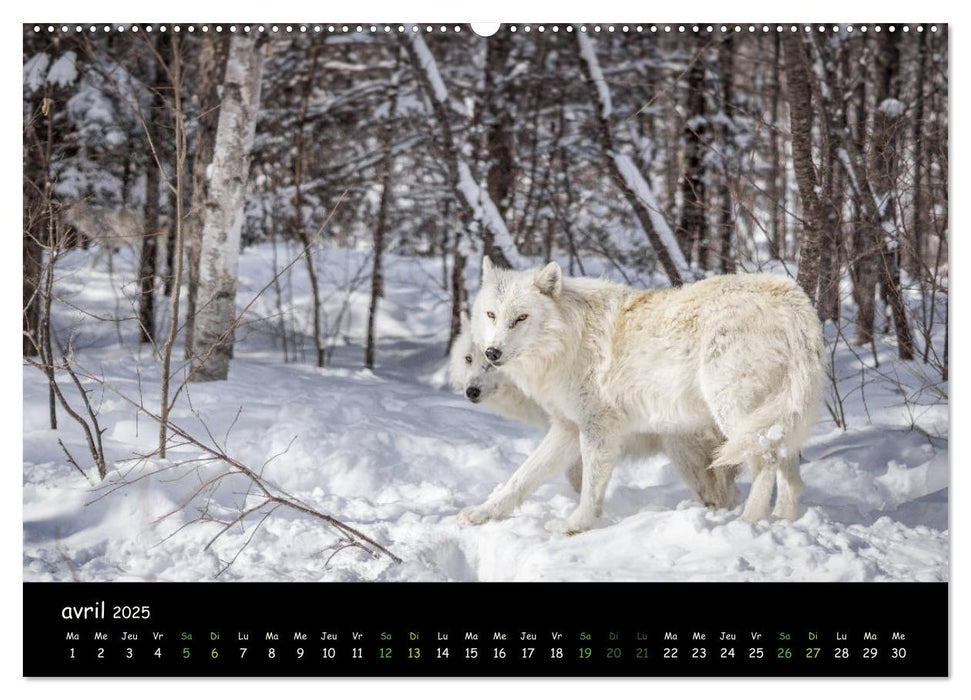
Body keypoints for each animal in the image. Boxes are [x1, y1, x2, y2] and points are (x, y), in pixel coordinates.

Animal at [448, 312, 736, 508]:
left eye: (490, 363)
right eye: (468, 359)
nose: (471, 391)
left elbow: (579, 481)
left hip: (681, 451)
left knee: (717, 496)